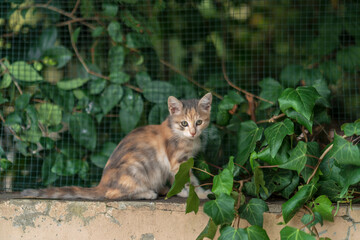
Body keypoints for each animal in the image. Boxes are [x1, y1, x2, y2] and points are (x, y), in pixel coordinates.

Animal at [21, 93, 214, 200]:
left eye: (199, 122)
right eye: (184, 123)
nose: (193, 132)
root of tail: (102, 183)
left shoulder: (181, 163)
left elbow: (183, 179)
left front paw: (188, 192)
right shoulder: (178, 162)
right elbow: (188, 180)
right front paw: (197, 194)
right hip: (136, 166)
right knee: (111, 194)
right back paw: (147, 193)